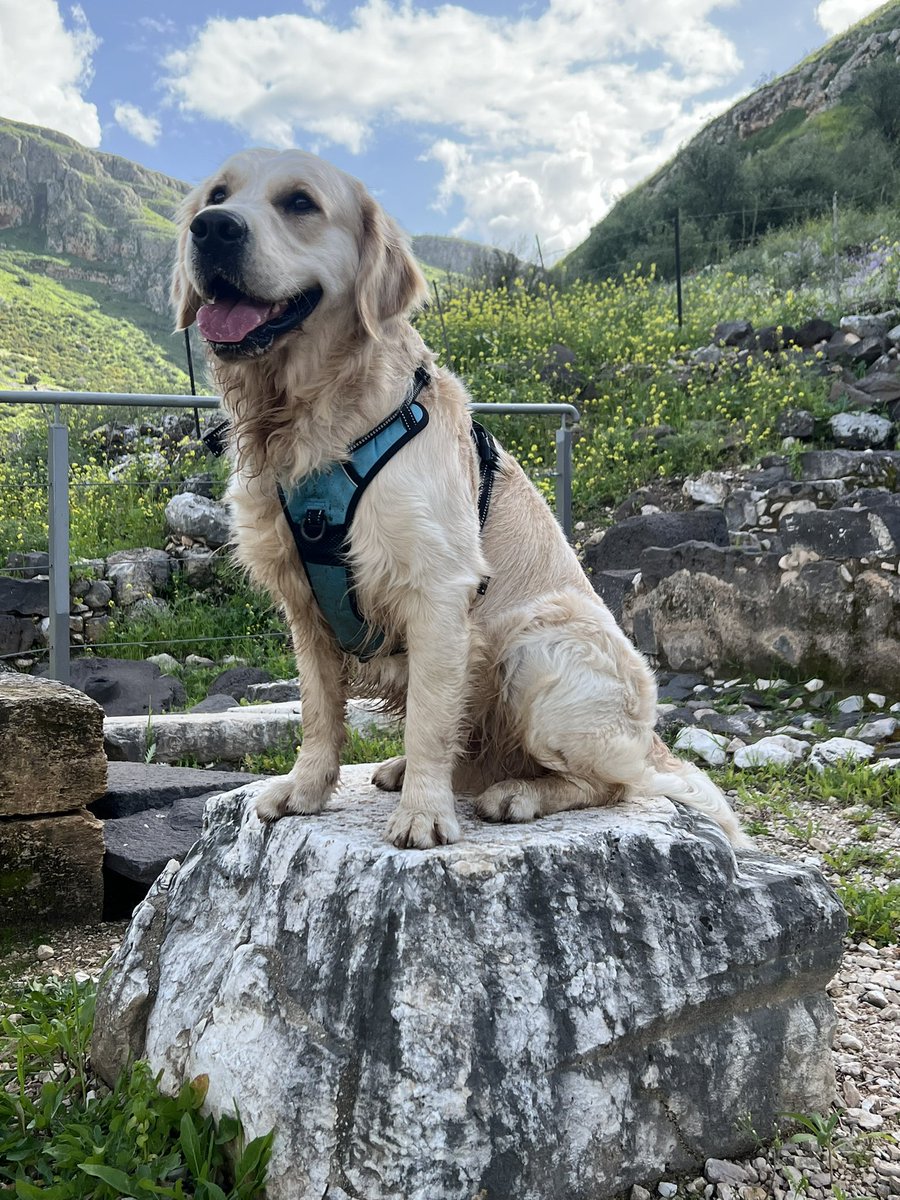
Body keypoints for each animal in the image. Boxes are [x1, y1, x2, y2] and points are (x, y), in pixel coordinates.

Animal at [172, 150, 748, 854]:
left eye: (300, 202)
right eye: (216, 195)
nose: (211, 229)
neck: (313, 421)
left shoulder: (439, 591)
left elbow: (428, 719)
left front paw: (424, 813)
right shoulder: (304, 606)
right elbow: (318, 712)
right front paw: (306, 789)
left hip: (538, 646)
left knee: (614, 782)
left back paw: (517, 793)